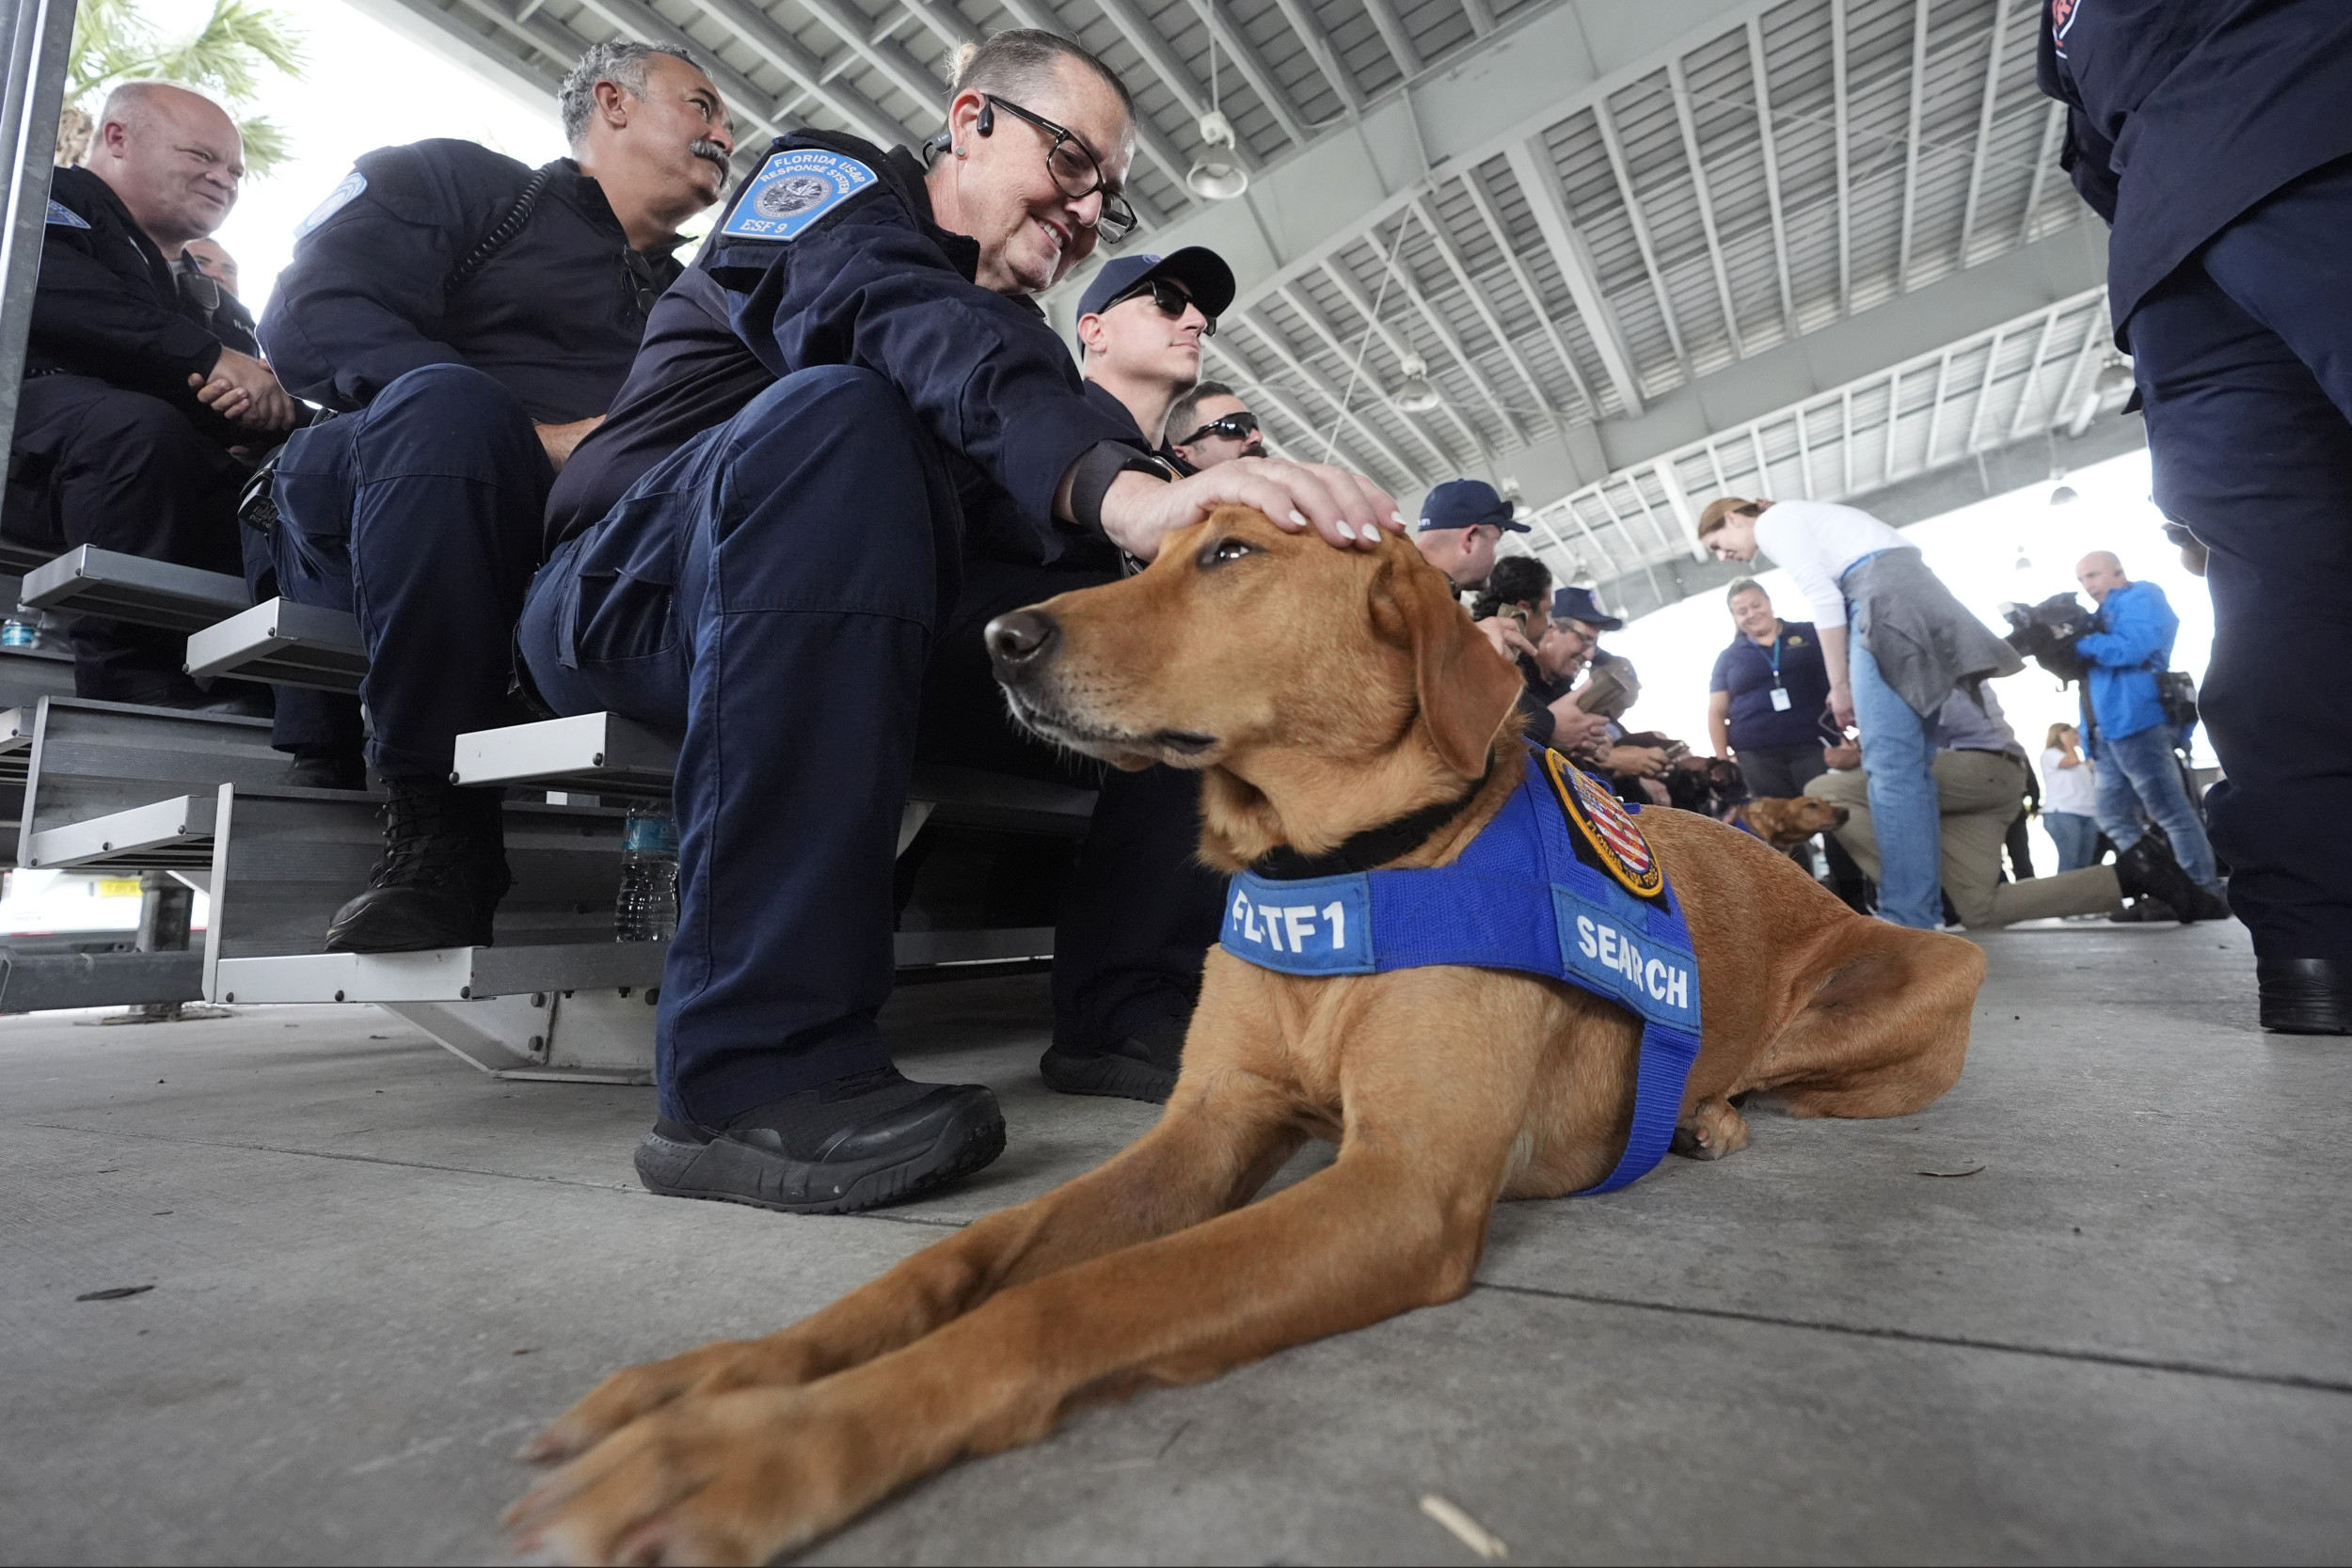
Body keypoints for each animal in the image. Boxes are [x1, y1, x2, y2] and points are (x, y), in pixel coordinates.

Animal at [501, 510, 1985, 1560]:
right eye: (1144, 550)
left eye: (1228, 552)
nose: (1000, 639)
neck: (1337, 863)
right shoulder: (1209, 1124)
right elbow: (963, 1256)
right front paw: (730, 1375)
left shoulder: (1402, 1184)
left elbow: (1067, 1299)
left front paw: (767, 1446)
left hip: (1919, 976)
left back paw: (1710, 1110)